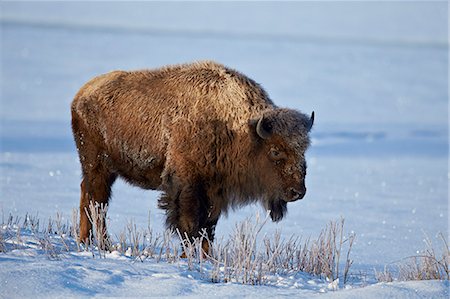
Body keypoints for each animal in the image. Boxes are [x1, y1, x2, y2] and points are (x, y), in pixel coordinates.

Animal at [72, 60, 314, 251]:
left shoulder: (215, 191)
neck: (240, 129)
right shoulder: (187, 187)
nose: (298, 192)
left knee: (92, 198)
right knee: (96, 200)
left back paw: (92, 242)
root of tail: (82, 94)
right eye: (275, 151)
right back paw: (96, 242)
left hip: (105, 169)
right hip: (97, 165)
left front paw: (206, 258)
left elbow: (208, 228)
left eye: (303, 149)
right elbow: (190, 226)